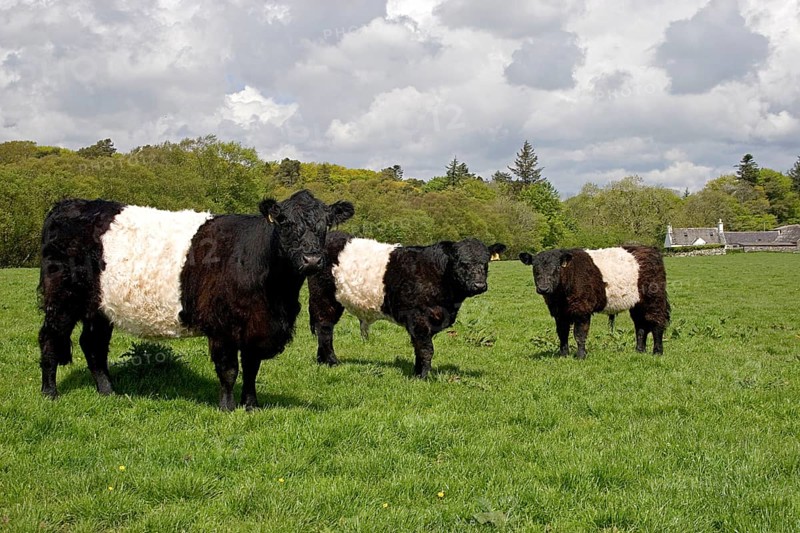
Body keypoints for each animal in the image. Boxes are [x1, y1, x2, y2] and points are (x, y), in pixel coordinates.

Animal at [38, 190, 354, 410]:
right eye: (285, 223)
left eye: (325, 224)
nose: (311, 259)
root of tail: (67, 204)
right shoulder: (223, 326)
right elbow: (229, 370)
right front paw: (227, 408)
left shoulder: (256, 327)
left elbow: (252, 368)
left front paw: (251, 405)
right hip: (62, 300)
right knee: (50, 339)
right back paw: (50, 393)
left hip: (100, 307)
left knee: (93, 345)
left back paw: (108, 391)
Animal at [308, 232, 507, 378]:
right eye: (463, 263)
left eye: (486, 263)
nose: (479, 285)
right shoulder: (418, 316)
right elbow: (426, 348)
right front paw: (422, 377)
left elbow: (420, 347)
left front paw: (417, 372)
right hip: (324, 297)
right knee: (325, 329)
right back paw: (332, 361)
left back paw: (322, 360)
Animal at [519, 246, 669, 358]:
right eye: (535, 268)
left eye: (557, 268)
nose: (543, 288)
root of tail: (650, 250)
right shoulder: (559, 313)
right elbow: (562, 333)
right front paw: (563, 355)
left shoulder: (582, 309)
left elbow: (579, 334)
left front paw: (580, 356)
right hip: (637, 304)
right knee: (640, 326)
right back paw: (639, 351)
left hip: (654, 299)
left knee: (656, 324)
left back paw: (657, 352)